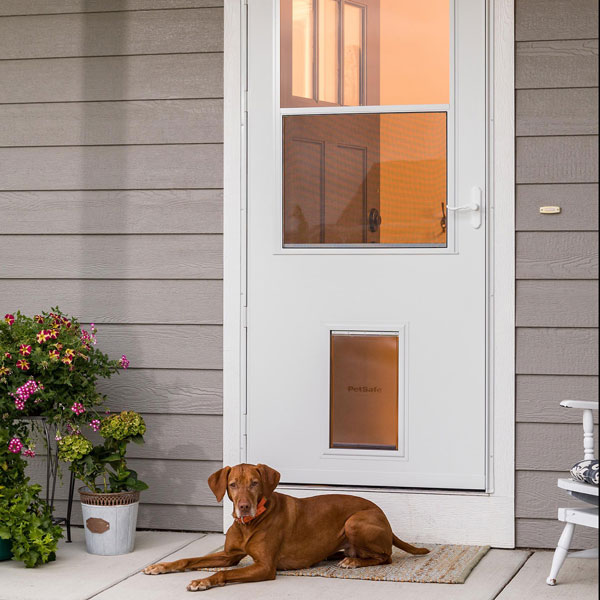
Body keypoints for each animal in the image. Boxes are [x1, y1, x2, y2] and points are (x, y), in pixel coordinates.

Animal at [143, 464, 428, 592]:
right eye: (233, 484)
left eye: (255, 483)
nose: (244, 507)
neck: (249, 524)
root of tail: (384, 517)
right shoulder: (229, 555)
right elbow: (188, 559)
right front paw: (161, 566)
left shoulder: (265, 567)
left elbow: (222, 573)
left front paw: (203, 580)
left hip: (354, 521)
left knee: (385, 557)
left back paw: (353, 562)